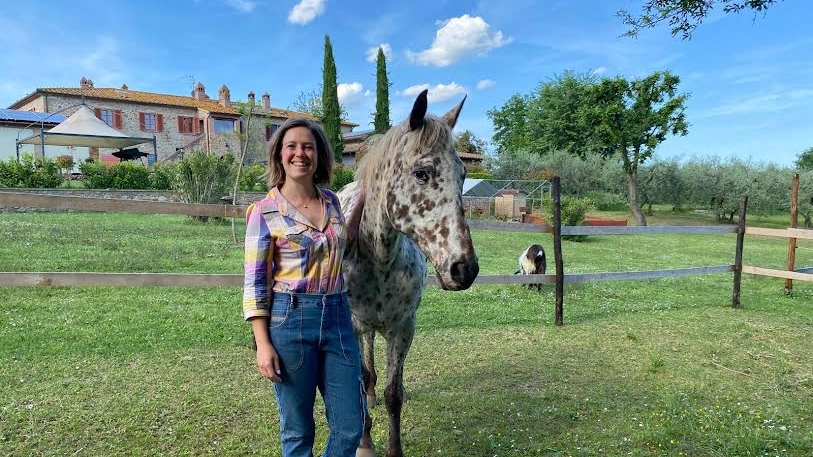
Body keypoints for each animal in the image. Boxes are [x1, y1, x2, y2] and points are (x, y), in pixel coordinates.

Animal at [334, 90, 476, 456]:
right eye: (421, 173)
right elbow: (360, 383)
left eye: (462, 174)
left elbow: (393, 393)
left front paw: (393, 447)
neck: (380, 262)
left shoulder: (403, 328)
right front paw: (365, 443)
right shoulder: (353, 327)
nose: (464, 269)